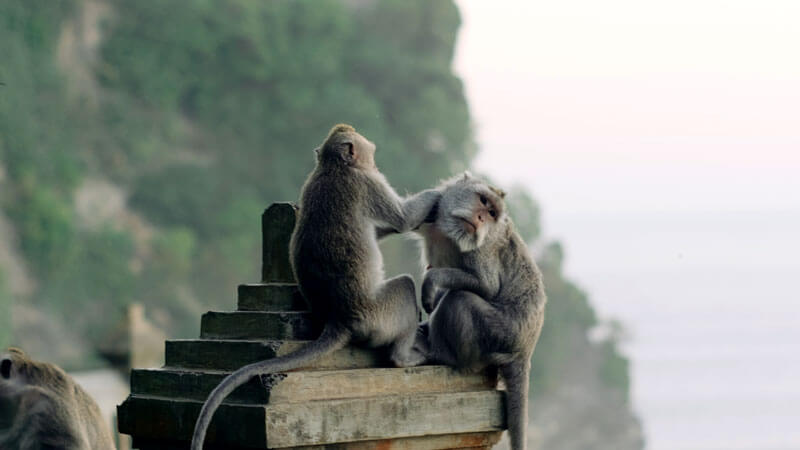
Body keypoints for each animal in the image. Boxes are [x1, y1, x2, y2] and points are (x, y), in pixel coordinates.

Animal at [192, 124, 444, 450]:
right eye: (367, 153)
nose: (374, 158)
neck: (331, 167)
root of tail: (339, 320)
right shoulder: (366, 184)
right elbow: (402, 219)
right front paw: (441, 192)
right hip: (380, 314)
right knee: (404, 287)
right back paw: (404, 357)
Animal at [416, 172, 548, 450]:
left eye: (492, 213)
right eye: (483, 201)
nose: (479, 219)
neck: (448, 234)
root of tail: (525, 350)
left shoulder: (481, 250)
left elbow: (486, 286)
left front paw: (431, 282)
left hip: (500, 334)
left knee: (461, 299)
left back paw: (440, 354)